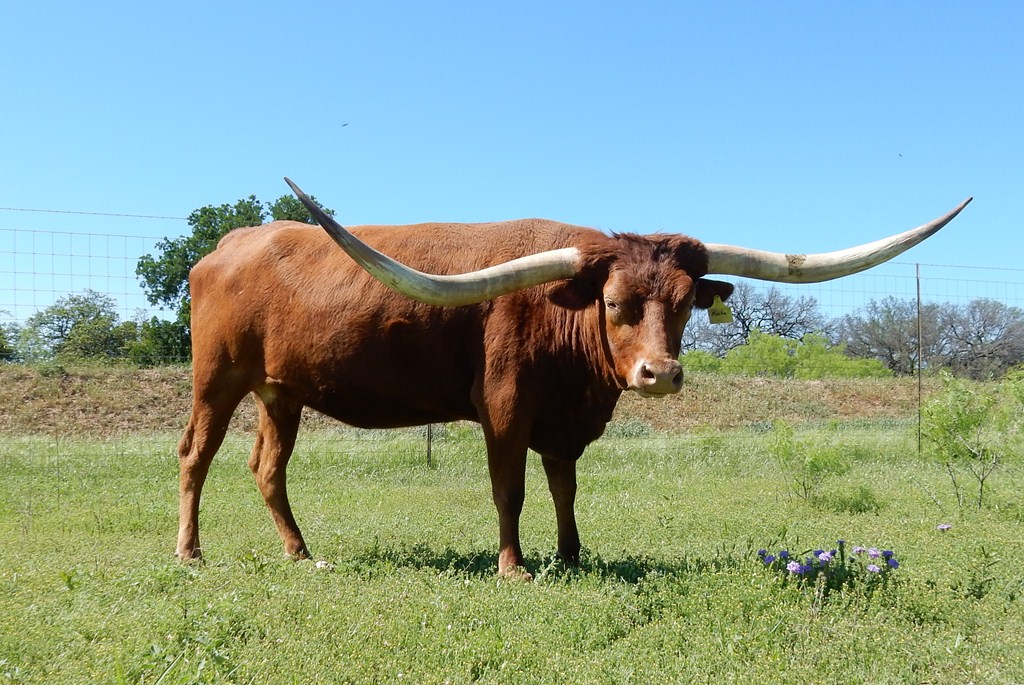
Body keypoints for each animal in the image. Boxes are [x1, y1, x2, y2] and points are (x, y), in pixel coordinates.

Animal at [175, 178, 970, 578]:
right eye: (613, 304)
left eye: (686, 305)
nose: (660, 373)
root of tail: (228, 244)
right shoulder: (504, 408)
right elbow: (511, 489)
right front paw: (514, 567)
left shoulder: (563, 423)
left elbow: (564, 488)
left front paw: (571, 554)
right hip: (217, 378)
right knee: (196, 456)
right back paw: (190, 552)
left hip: (280, 391)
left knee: (267, 466)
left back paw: (301, 552)